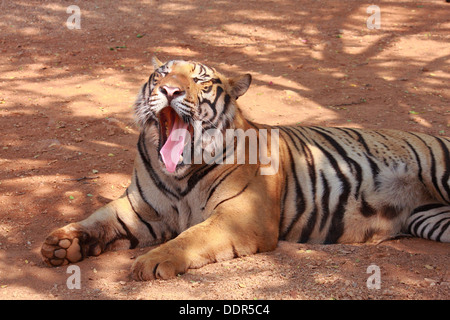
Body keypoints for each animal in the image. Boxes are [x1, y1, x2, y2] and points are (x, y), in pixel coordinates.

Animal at [40, 57, 448, 280]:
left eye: (200, 80)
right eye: (162, 74)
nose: (170, 90)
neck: (179, 174)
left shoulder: (240, 215)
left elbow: (190, 237)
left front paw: (152, 262)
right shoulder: (143, 209)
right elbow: (99, 217)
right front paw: (63, 244)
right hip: (431, 219)